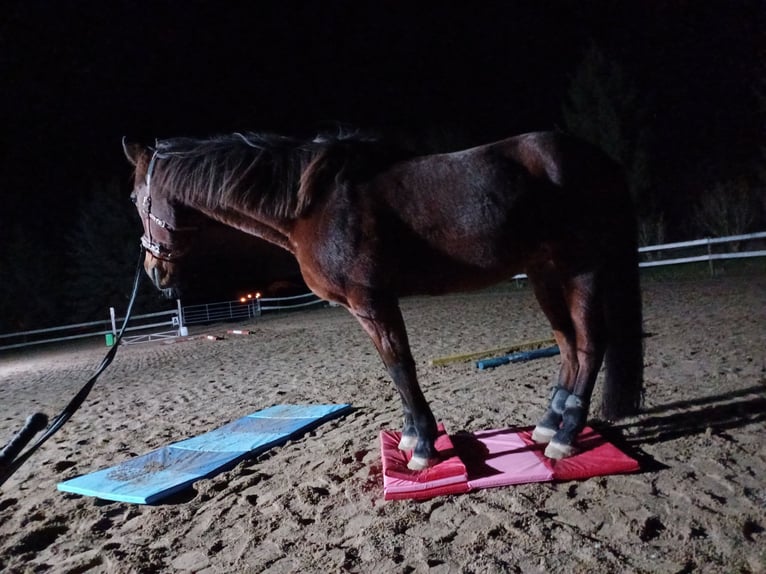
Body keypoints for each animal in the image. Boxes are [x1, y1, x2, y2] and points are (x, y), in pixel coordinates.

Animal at [124, 132, 640, 472]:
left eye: (134, 197)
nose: (154, 273)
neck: (313, 205)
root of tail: (604, 162)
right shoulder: (366, 308)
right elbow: (395, 369)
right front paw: (413, 436)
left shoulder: (371, 301)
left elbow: (399, 366)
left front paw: (423, 448)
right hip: (545, 273)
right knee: (568, 346)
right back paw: (549, 424)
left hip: (581, 268)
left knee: (590, 345)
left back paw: (566, 437)